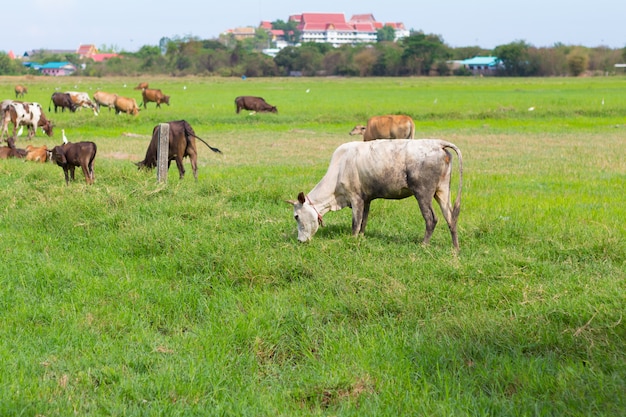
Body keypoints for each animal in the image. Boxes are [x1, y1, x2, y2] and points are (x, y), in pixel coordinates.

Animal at [288, 139, 464, 250]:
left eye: (296, 216)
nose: (300, 241)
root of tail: (438, 143)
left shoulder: (356, 198)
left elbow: (355, 223)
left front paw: (353, 240)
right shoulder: (366, 200)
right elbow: (363, 222)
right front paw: (361, 237)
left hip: (423, 193)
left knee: (431, 219)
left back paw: (424, 245)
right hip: (442, 190)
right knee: (451, 217)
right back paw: (455, 248)